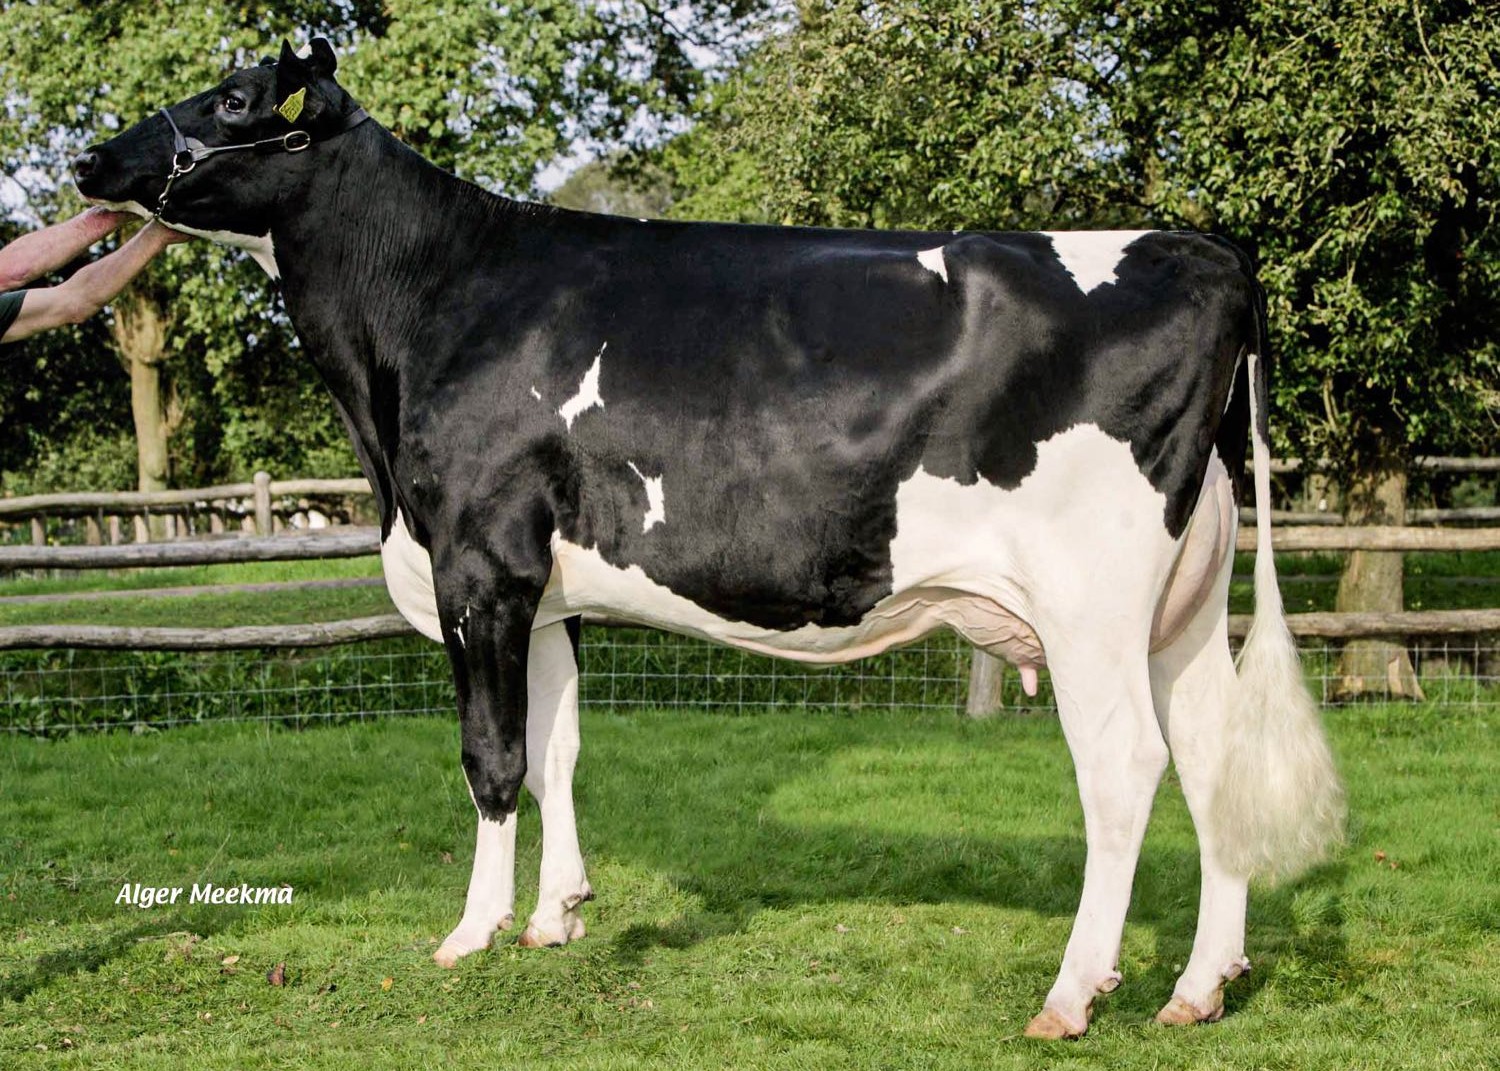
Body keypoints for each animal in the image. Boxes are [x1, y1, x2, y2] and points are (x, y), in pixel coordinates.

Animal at [70, 41, 1344, 1032]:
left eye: (238, 98)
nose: (92, 163)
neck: (435, 307)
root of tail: (1208, 252)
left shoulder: (478, 560)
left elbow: (494, 758)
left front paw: (473, 932)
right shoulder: (548, 588)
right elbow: (561, 748)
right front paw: (557, 916)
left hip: (1091, 599)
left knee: (1125, 766)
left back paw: (1075, 994)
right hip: (1184, 603)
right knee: (1213, 757)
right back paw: (1200, 986)